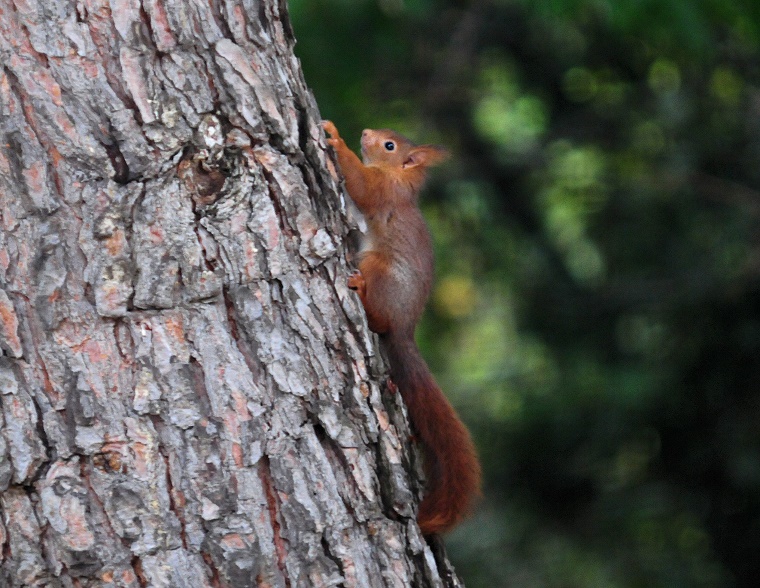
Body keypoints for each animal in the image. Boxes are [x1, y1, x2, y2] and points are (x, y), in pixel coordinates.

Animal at [322, 121, 480, 536]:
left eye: (390, 145)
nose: (365, 132)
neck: (397, 177)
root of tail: (405, 328)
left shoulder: (382, 191)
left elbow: (360, 184)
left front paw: (335, 138)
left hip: (379, 269)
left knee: (379, 319)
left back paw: (362, 294)